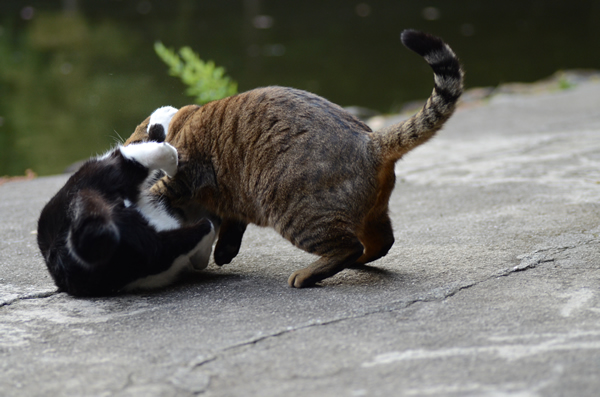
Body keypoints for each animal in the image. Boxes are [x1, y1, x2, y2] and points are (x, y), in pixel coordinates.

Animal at [125, 28, 464, 288]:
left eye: (133, 141)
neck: (180, 121)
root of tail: (371, 142)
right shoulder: (232, 195)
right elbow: (232, 226)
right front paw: (224, 251)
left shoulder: (186, 176)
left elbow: (160, 190)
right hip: (370, 214)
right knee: (380, 242)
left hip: (294, 212)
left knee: (348, 247)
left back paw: (309, 274)